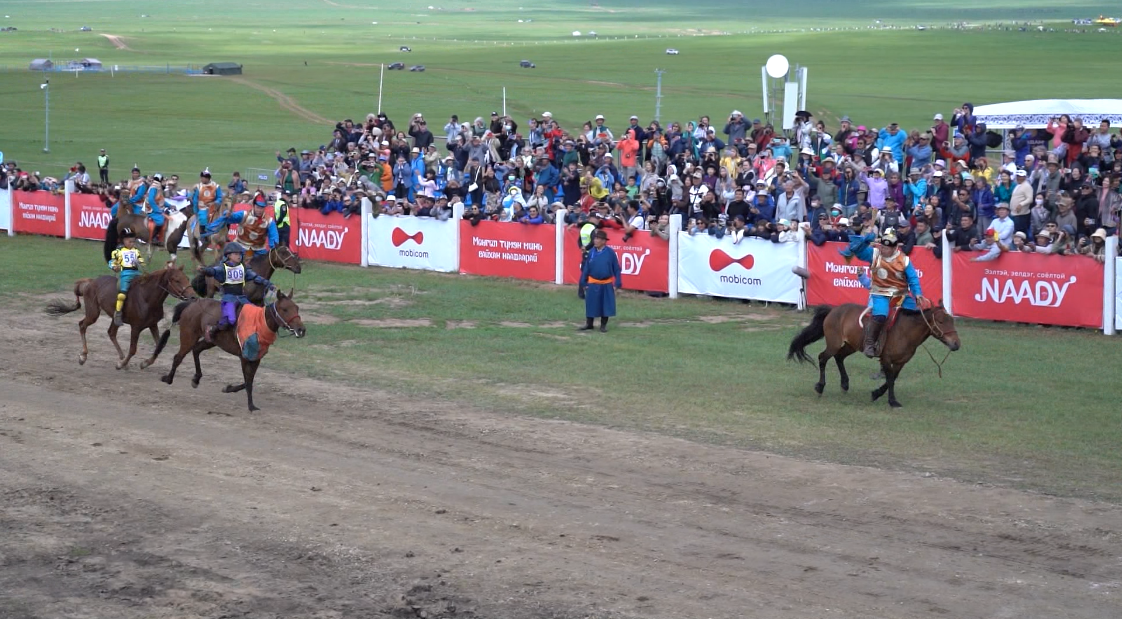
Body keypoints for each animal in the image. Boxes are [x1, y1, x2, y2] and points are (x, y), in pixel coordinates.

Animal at [45, 264, 197, 367]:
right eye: (176, 280)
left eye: (186, 278)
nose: (193, 297)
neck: (147, 298)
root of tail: (90, 281)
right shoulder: (136, 327)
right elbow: (133, 349)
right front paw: (122, 364)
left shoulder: (152, 324)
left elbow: (159, 345)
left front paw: (145, 363)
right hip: (93, 313)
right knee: (82, 325)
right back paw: (83, 356)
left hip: (114, 318)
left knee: (111, 332)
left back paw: (121, 357)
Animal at [160, 289, 305, 410]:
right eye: (285, 309)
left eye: (297, 308)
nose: (301, 330)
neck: (260, 324)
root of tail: (191, 304)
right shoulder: (244, 357)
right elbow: (248, 382)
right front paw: (251, 406)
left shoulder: (256, 358)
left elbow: (248, 381)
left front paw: (229, 388)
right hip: (189, 336)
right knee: (178, 357)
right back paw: (168, 378)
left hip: (210, 340)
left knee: (196, 350)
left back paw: (196, 379)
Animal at [785, 302, 960, 408]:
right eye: (941, 321)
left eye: (952, 320)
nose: (956, 344)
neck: (905, 331)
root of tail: (834, 310)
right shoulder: (886, 359)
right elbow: (890, 379)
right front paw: (892, 401)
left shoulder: (901, 362)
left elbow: (892, 379)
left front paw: (876, 394)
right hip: (834, 344)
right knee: (823, 357)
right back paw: (820, 387)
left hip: (851, 346)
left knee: (839, 357)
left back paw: (845, 384)